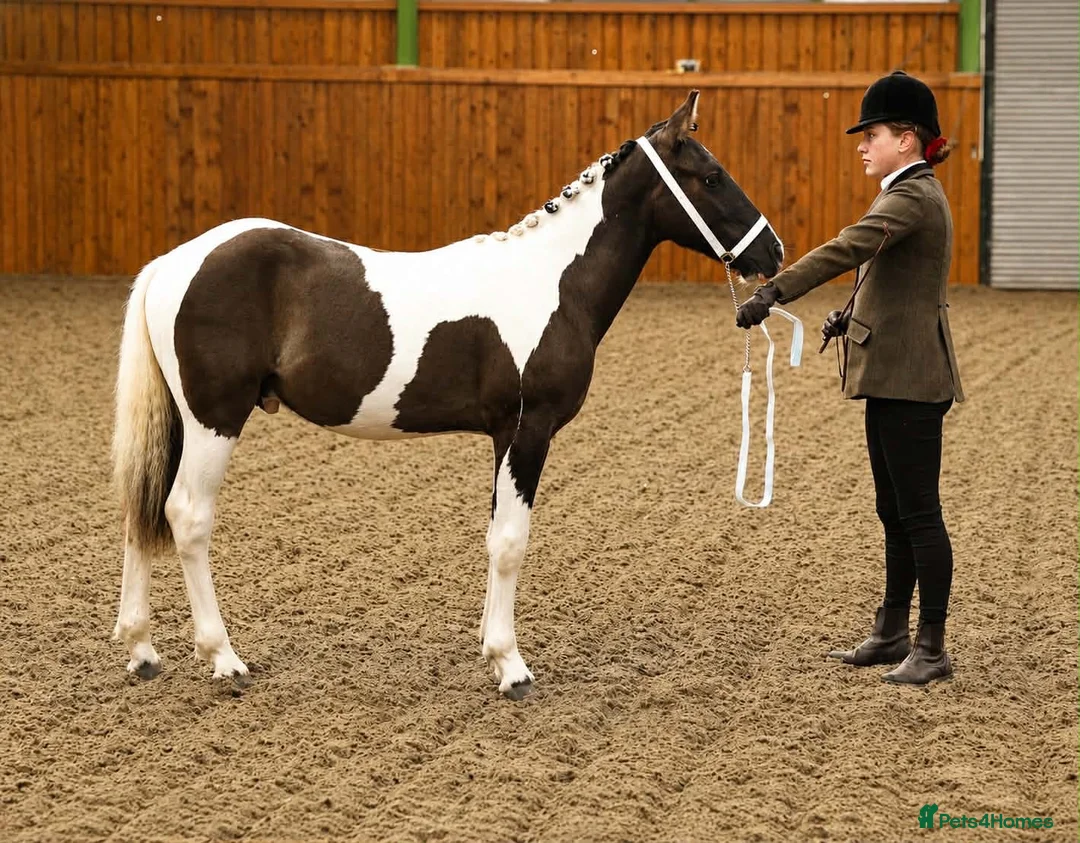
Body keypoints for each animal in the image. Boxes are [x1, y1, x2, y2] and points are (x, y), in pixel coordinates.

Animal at [110, 89, 784, 699]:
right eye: (711, 176)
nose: (772, 251)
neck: (552, 281)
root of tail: (175, 262)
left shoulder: (504, 438)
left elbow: (494, 535)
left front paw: (491, 648)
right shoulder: (527, 430)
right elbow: (511, 542)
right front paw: (512, 667)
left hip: (183, 420)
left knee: (145, 511)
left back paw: (143, 651)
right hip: (214, 419)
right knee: (185, 516)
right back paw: (224, 659)